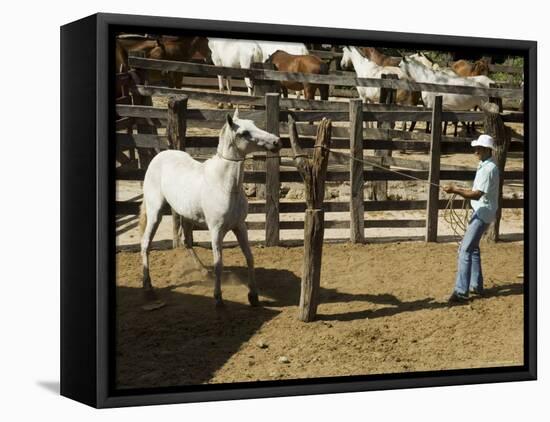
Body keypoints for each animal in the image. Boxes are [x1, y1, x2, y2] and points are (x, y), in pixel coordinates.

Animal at [140, 109, 282, 306]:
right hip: (155, 213)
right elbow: (218, 263)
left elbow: (249, 257)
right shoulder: (216, 230)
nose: (276, 142)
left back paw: (202, 271)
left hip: (185, 215)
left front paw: (253, 296)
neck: (225, 186)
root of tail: (158, 157)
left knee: (186, 242)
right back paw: (148, 288)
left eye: (253, 124)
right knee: (145, 243)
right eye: (243, 133)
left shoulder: (240, 226)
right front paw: (218, 298)